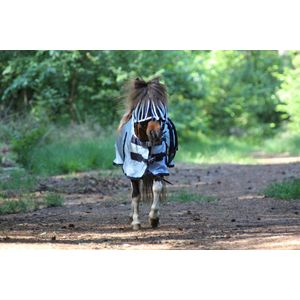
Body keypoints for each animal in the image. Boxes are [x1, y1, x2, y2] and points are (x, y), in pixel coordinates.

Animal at [113, 77, 177, 230]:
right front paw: (136, 221)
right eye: (144, 109)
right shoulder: (133, 169)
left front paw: (154, 218)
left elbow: (157, 188)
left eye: (161, 108)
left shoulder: (159, 167)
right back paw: (131, 216)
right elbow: (136, 195)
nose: (156, 134)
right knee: (134, 191)